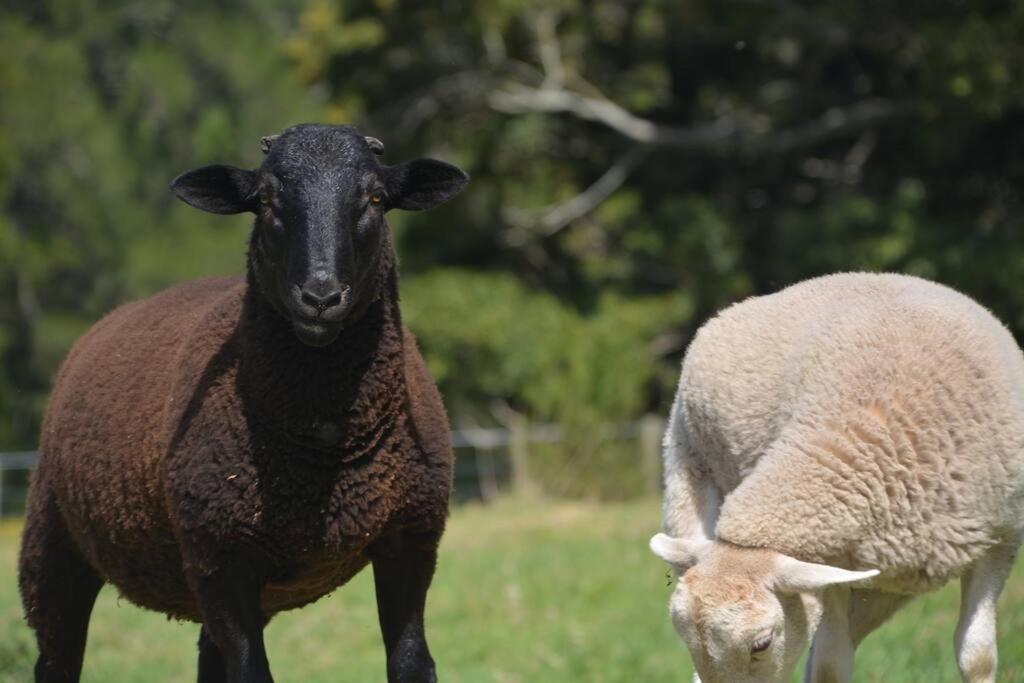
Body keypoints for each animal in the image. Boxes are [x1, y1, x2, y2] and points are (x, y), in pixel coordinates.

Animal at [647, 274, 1024, 683]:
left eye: (761, 644)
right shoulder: (835, 558)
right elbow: (831, 665)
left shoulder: (1001, 538)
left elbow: (977, 657)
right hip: (688, 483)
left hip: (883, 583)